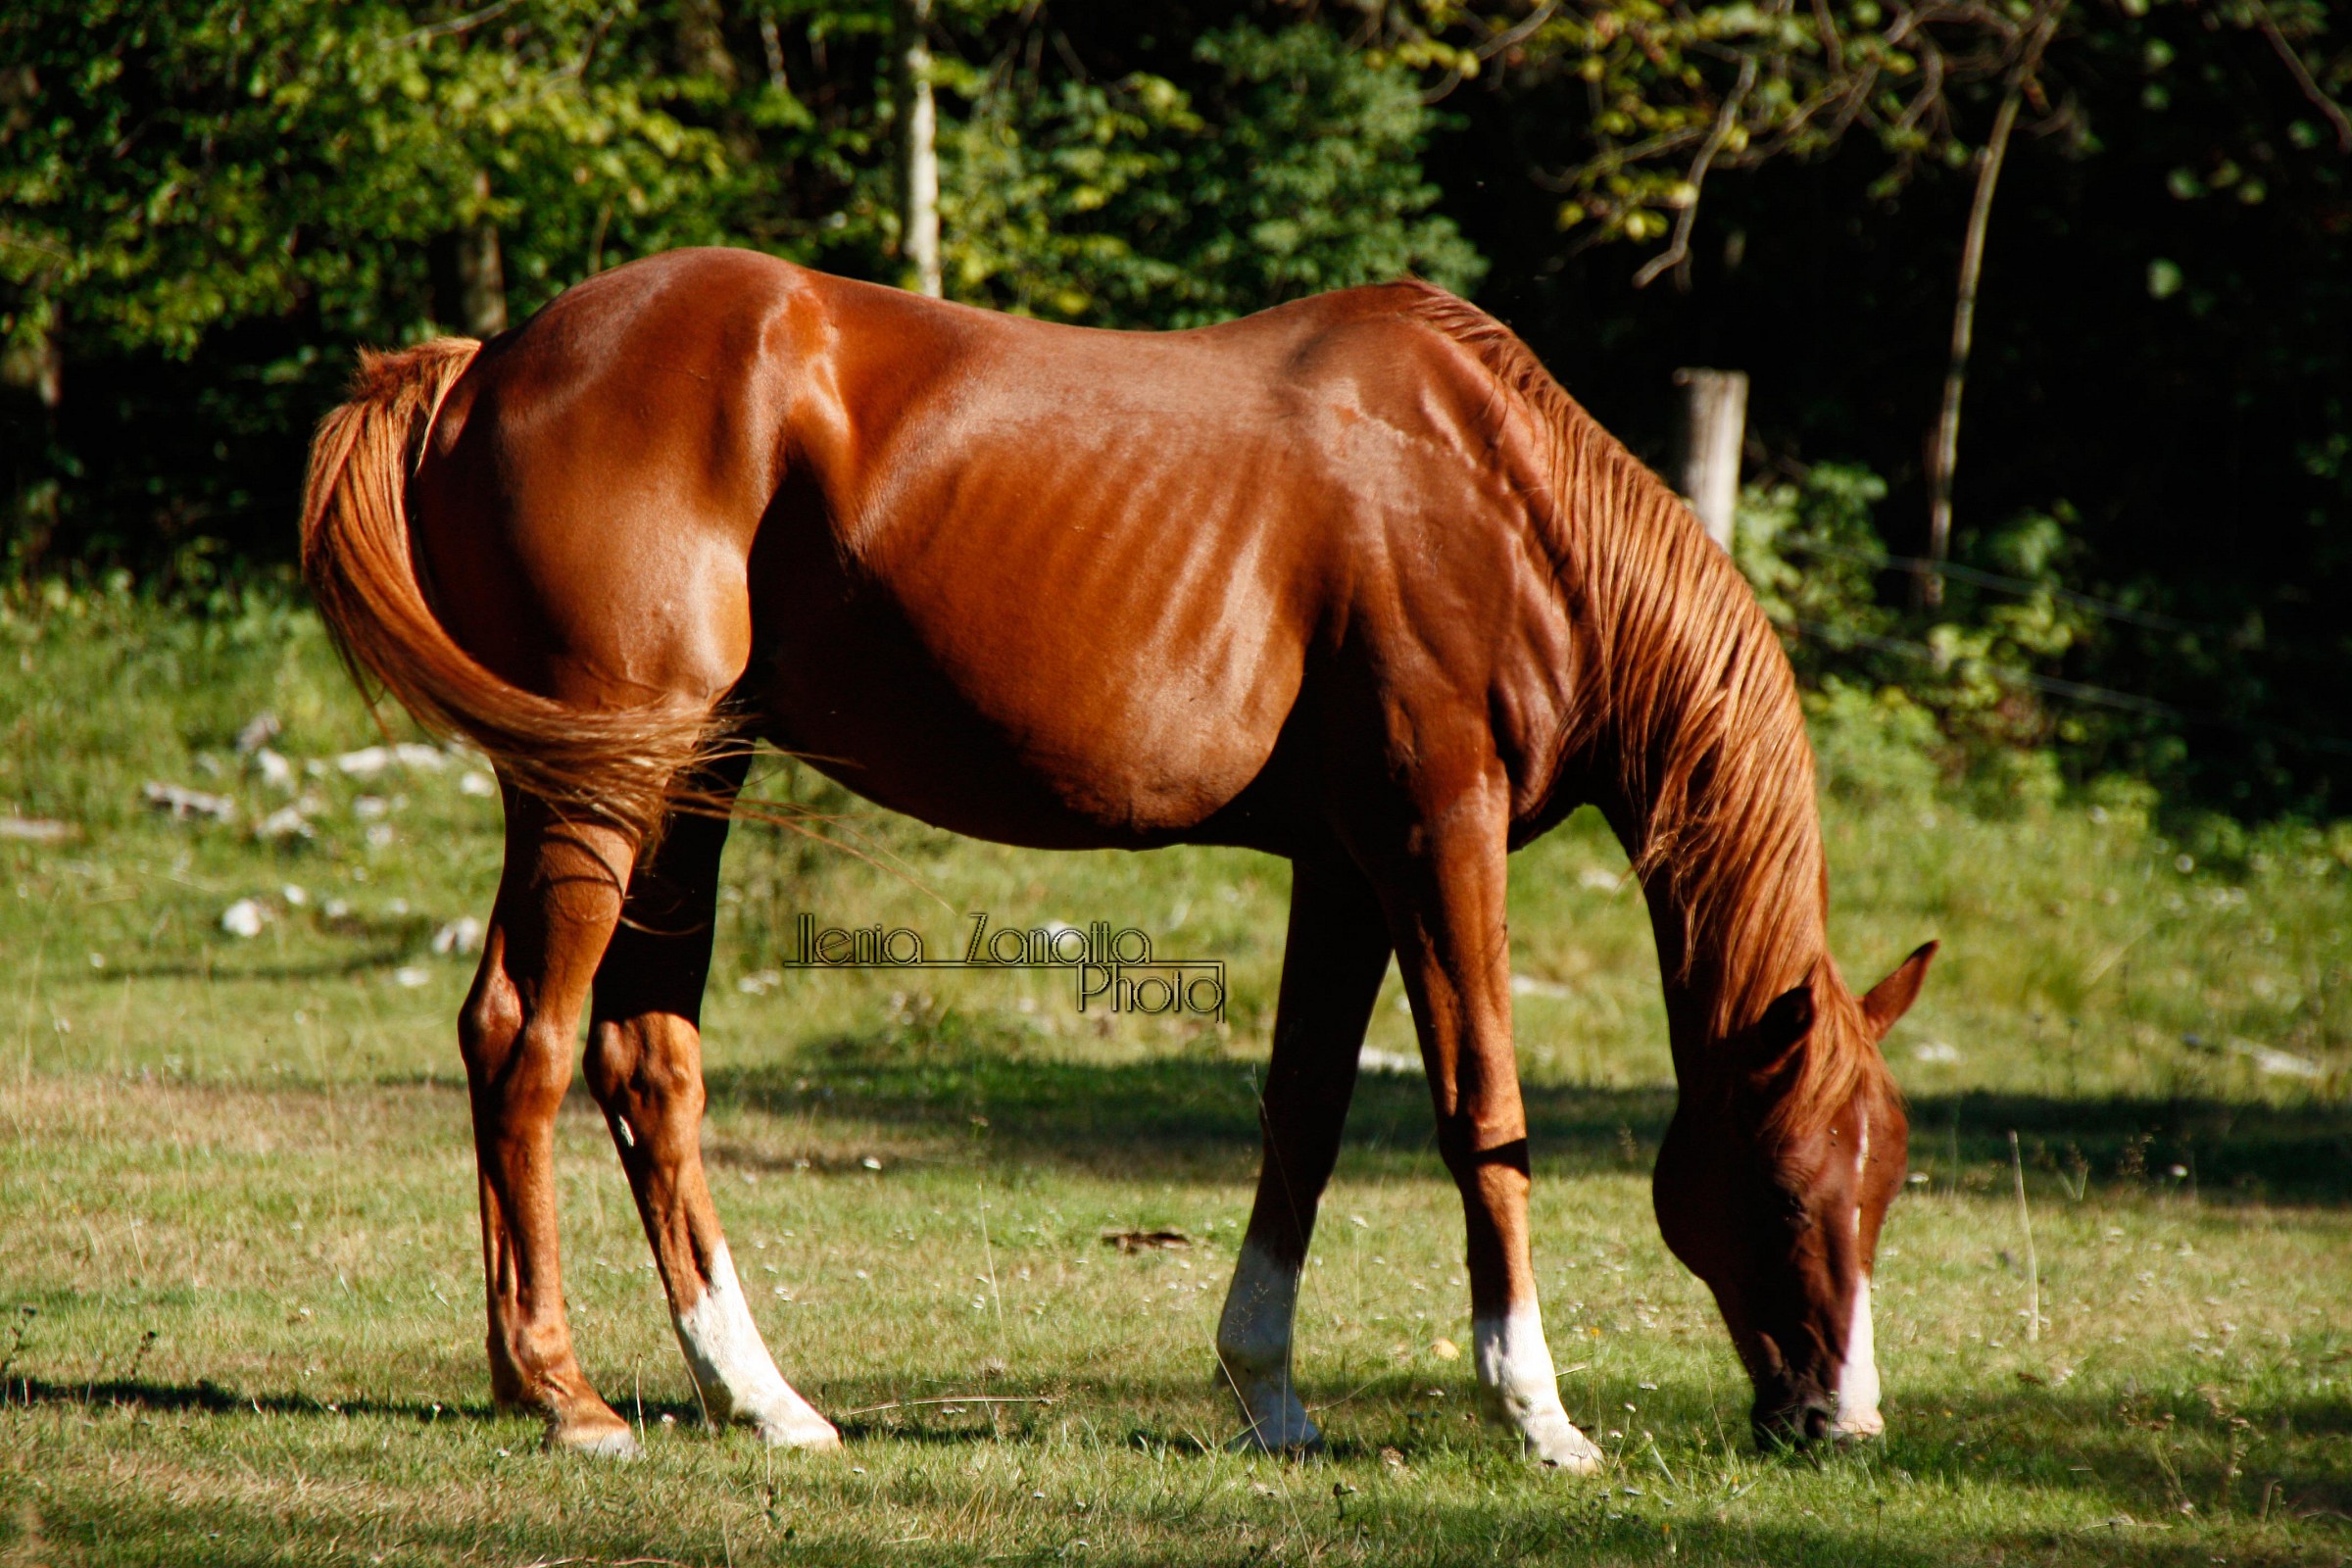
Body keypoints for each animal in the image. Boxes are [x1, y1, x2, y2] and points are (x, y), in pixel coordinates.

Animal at [299, 247, 1936, 1469]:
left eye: (1886, 1192)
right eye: (1789, 1190)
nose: (1841, 1423)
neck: (1505, 501)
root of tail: (490, 362)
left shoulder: (1347, 867)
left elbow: (1306, 1115)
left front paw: (1269, 1393)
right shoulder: (1439, 831)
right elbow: (1487, 1114)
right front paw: (1538, 1416)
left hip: (692, 776)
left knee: (644, 1063)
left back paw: (755, 1398)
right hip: (603, 784)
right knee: (526, 1035)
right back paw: (558, 1394)